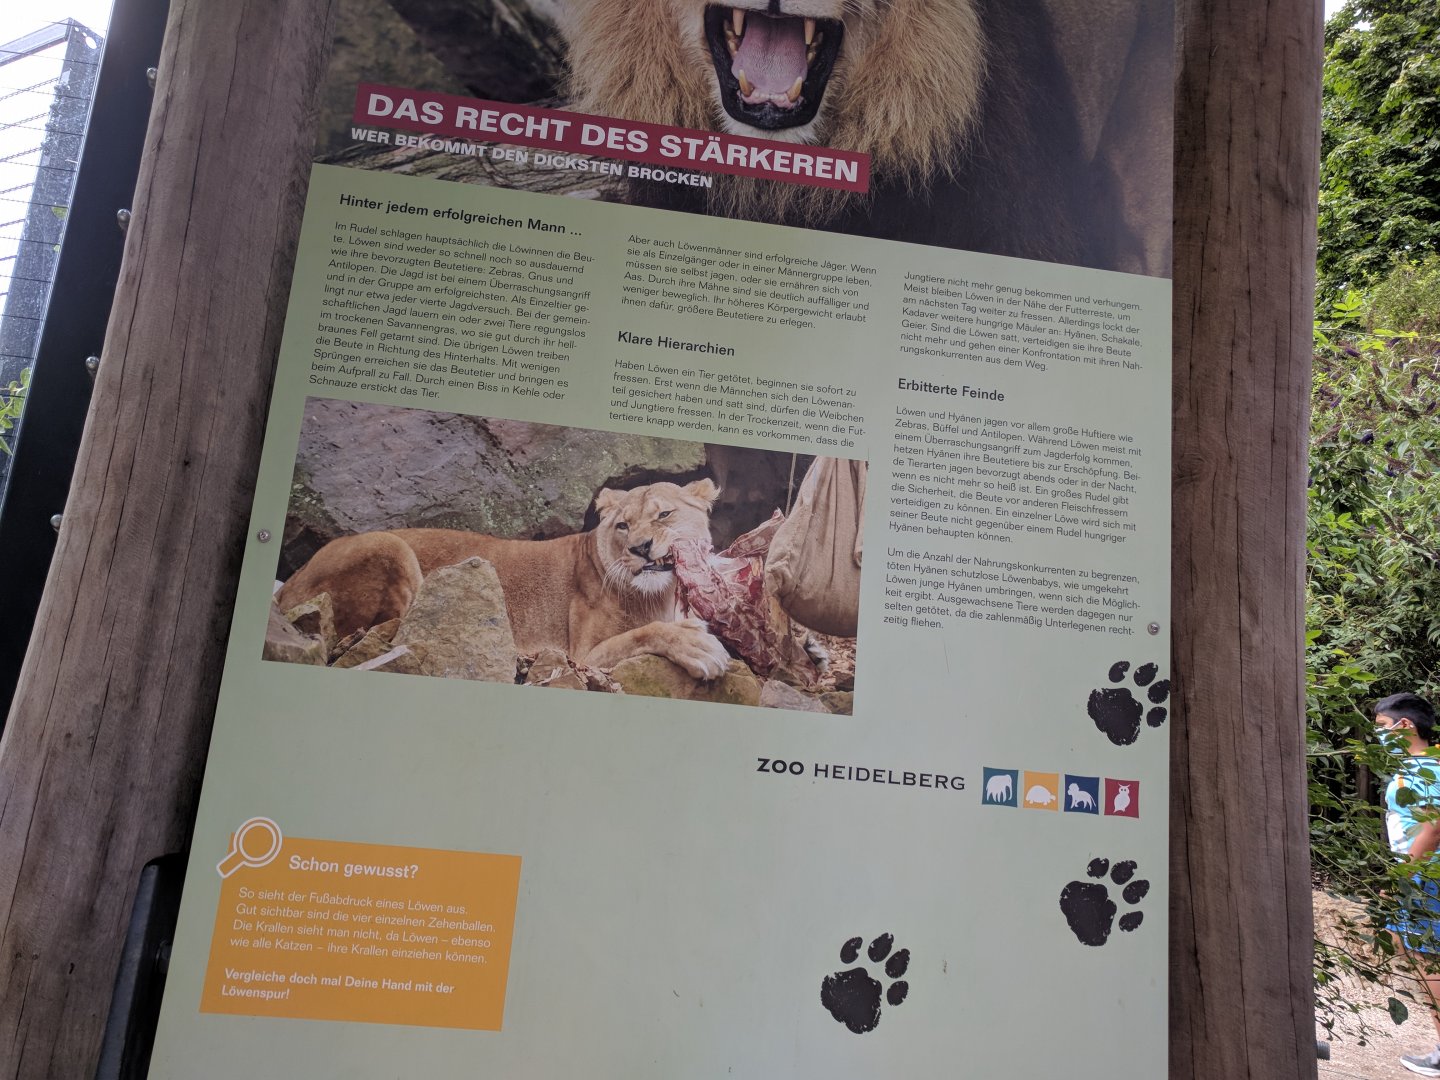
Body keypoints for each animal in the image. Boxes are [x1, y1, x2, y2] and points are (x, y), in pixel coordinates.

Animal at [274, 479, 732, 679]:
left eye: (664, 514)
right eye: (623, 525)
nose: (640, 548)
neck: (660, 595)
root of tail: (290, 583)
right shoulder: (583, 655)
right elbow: (642, 634)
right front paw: (699, 646)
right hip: (391, 546)